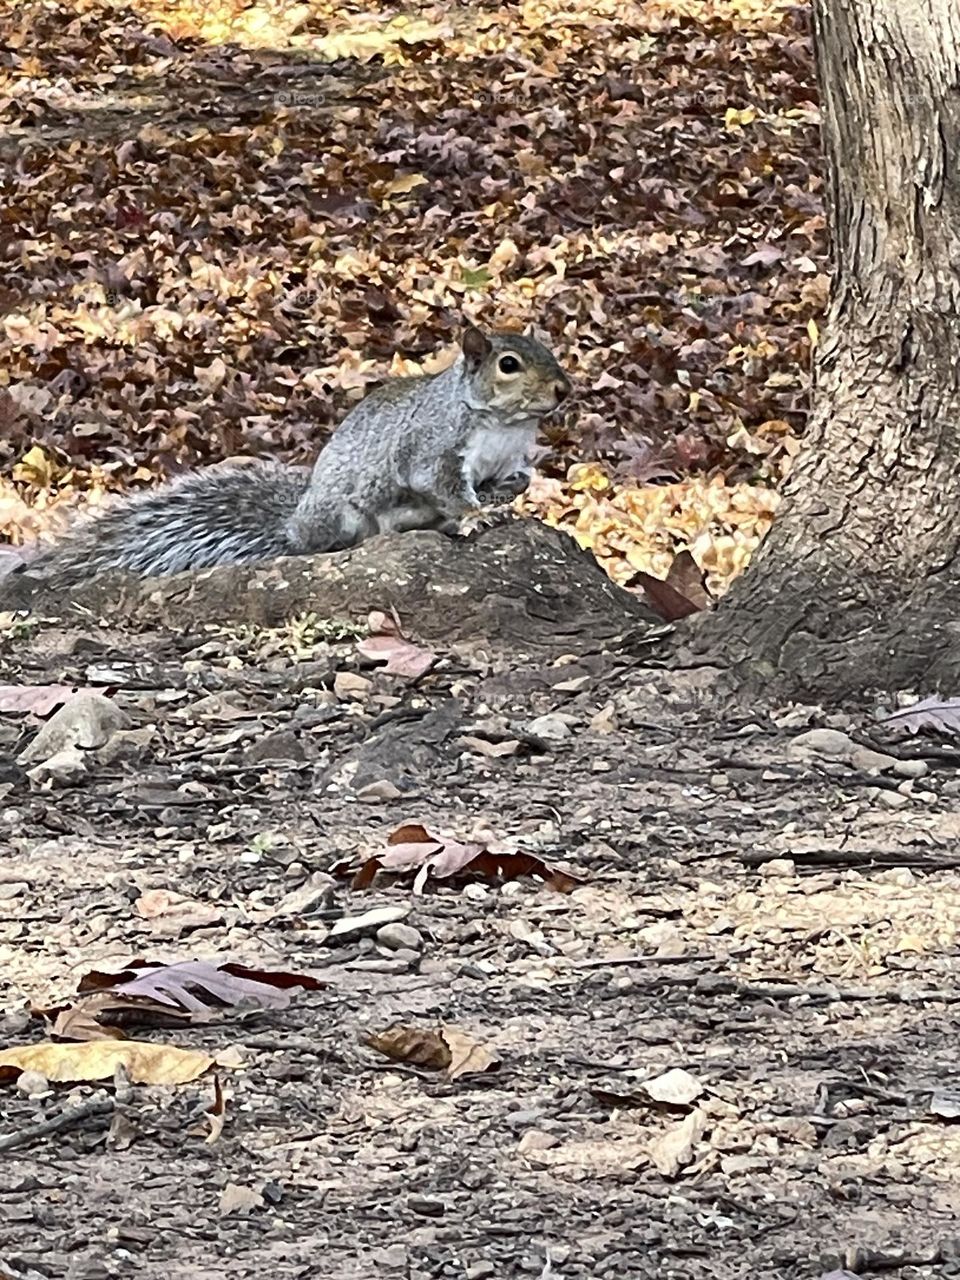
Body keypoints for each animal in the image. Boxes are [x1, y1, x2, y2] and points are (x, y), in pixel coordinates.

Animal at [16, 325, 571, 587]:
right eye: (508, 365)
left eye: (552, 354)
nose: (564, 390)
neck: (504, 425)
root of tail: (294, 525)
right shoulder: (432, 448)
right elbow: (444, 487)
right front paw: (475, 514)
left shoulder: (507, 457)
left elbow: (511, 479)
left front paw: (507, 495)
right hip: (341, 516)